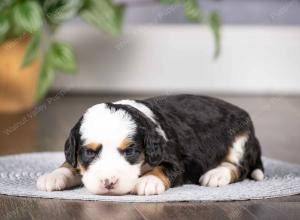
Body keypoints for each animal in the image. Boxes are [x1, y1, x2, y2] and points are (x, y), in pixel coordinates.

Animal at [36, 95, 264, 195]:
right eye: (89, 153)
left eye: (130, 151)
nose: (109, 183)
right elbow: (69, 163)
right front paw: (54, 176)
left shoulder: (176, 161)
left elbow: (163, 168)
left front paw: (148, 181)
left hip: (240, 139)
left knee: (239, 167)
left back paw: (216, 174)